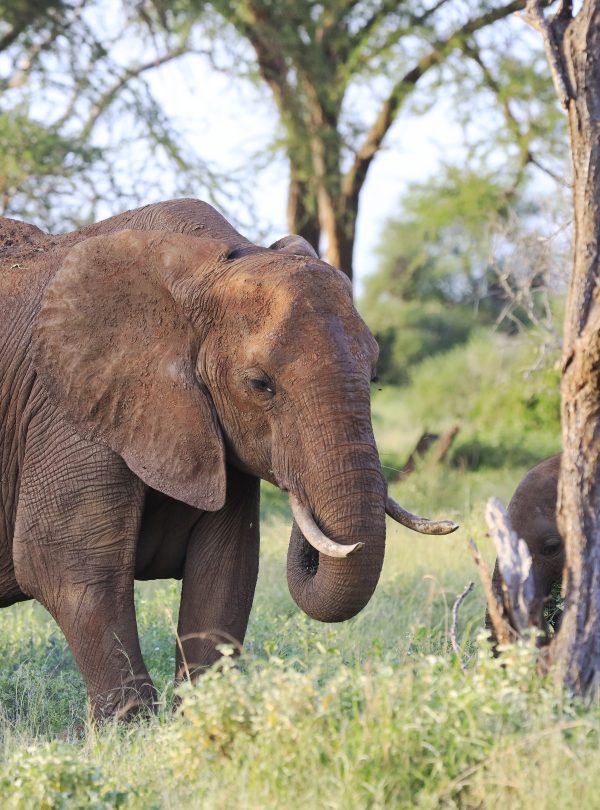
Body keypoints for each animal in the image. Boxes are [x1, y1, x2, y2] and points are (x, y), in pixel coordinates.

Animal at [0, 198, 458, 720]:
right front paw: (133, 730)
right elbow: (66, 567)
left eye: (375, 373)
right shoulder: (68, 407)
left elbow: (226, 570)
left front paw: (205, 720)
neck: (206, 265)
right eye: (259, 384)